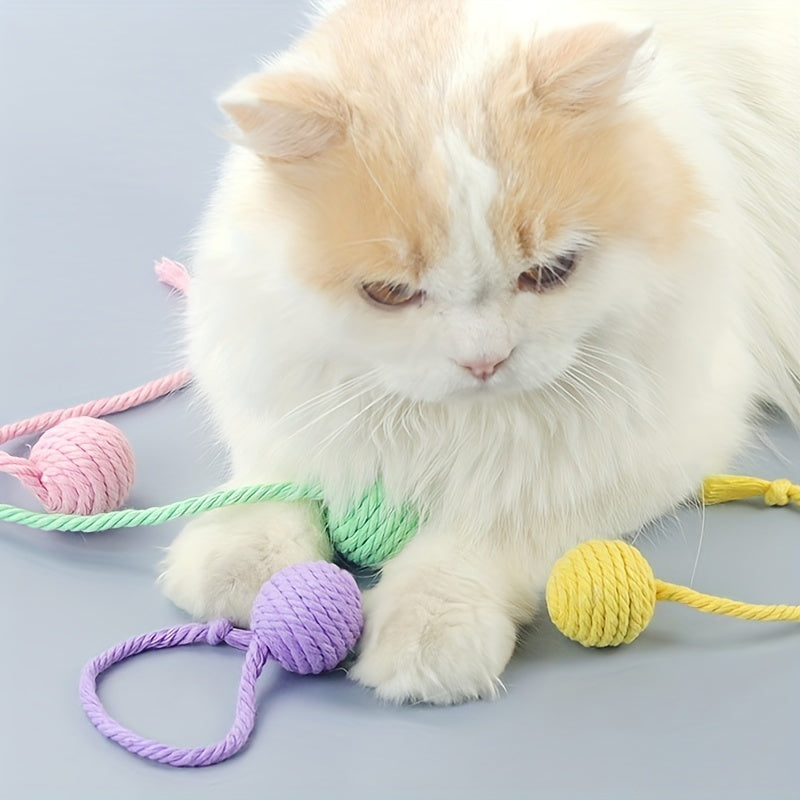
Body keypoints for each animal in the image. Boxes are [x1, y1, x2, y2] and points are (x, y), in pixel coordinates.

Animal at [158, 0, 800, 700]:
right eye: (390, 292)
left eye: (550, 272)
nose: (484, 362)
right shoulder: (271, 372)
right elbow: (279, 469)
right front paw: (239, 556)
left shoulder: (657, 431)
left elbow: (493, 524)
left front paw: (428, 633)